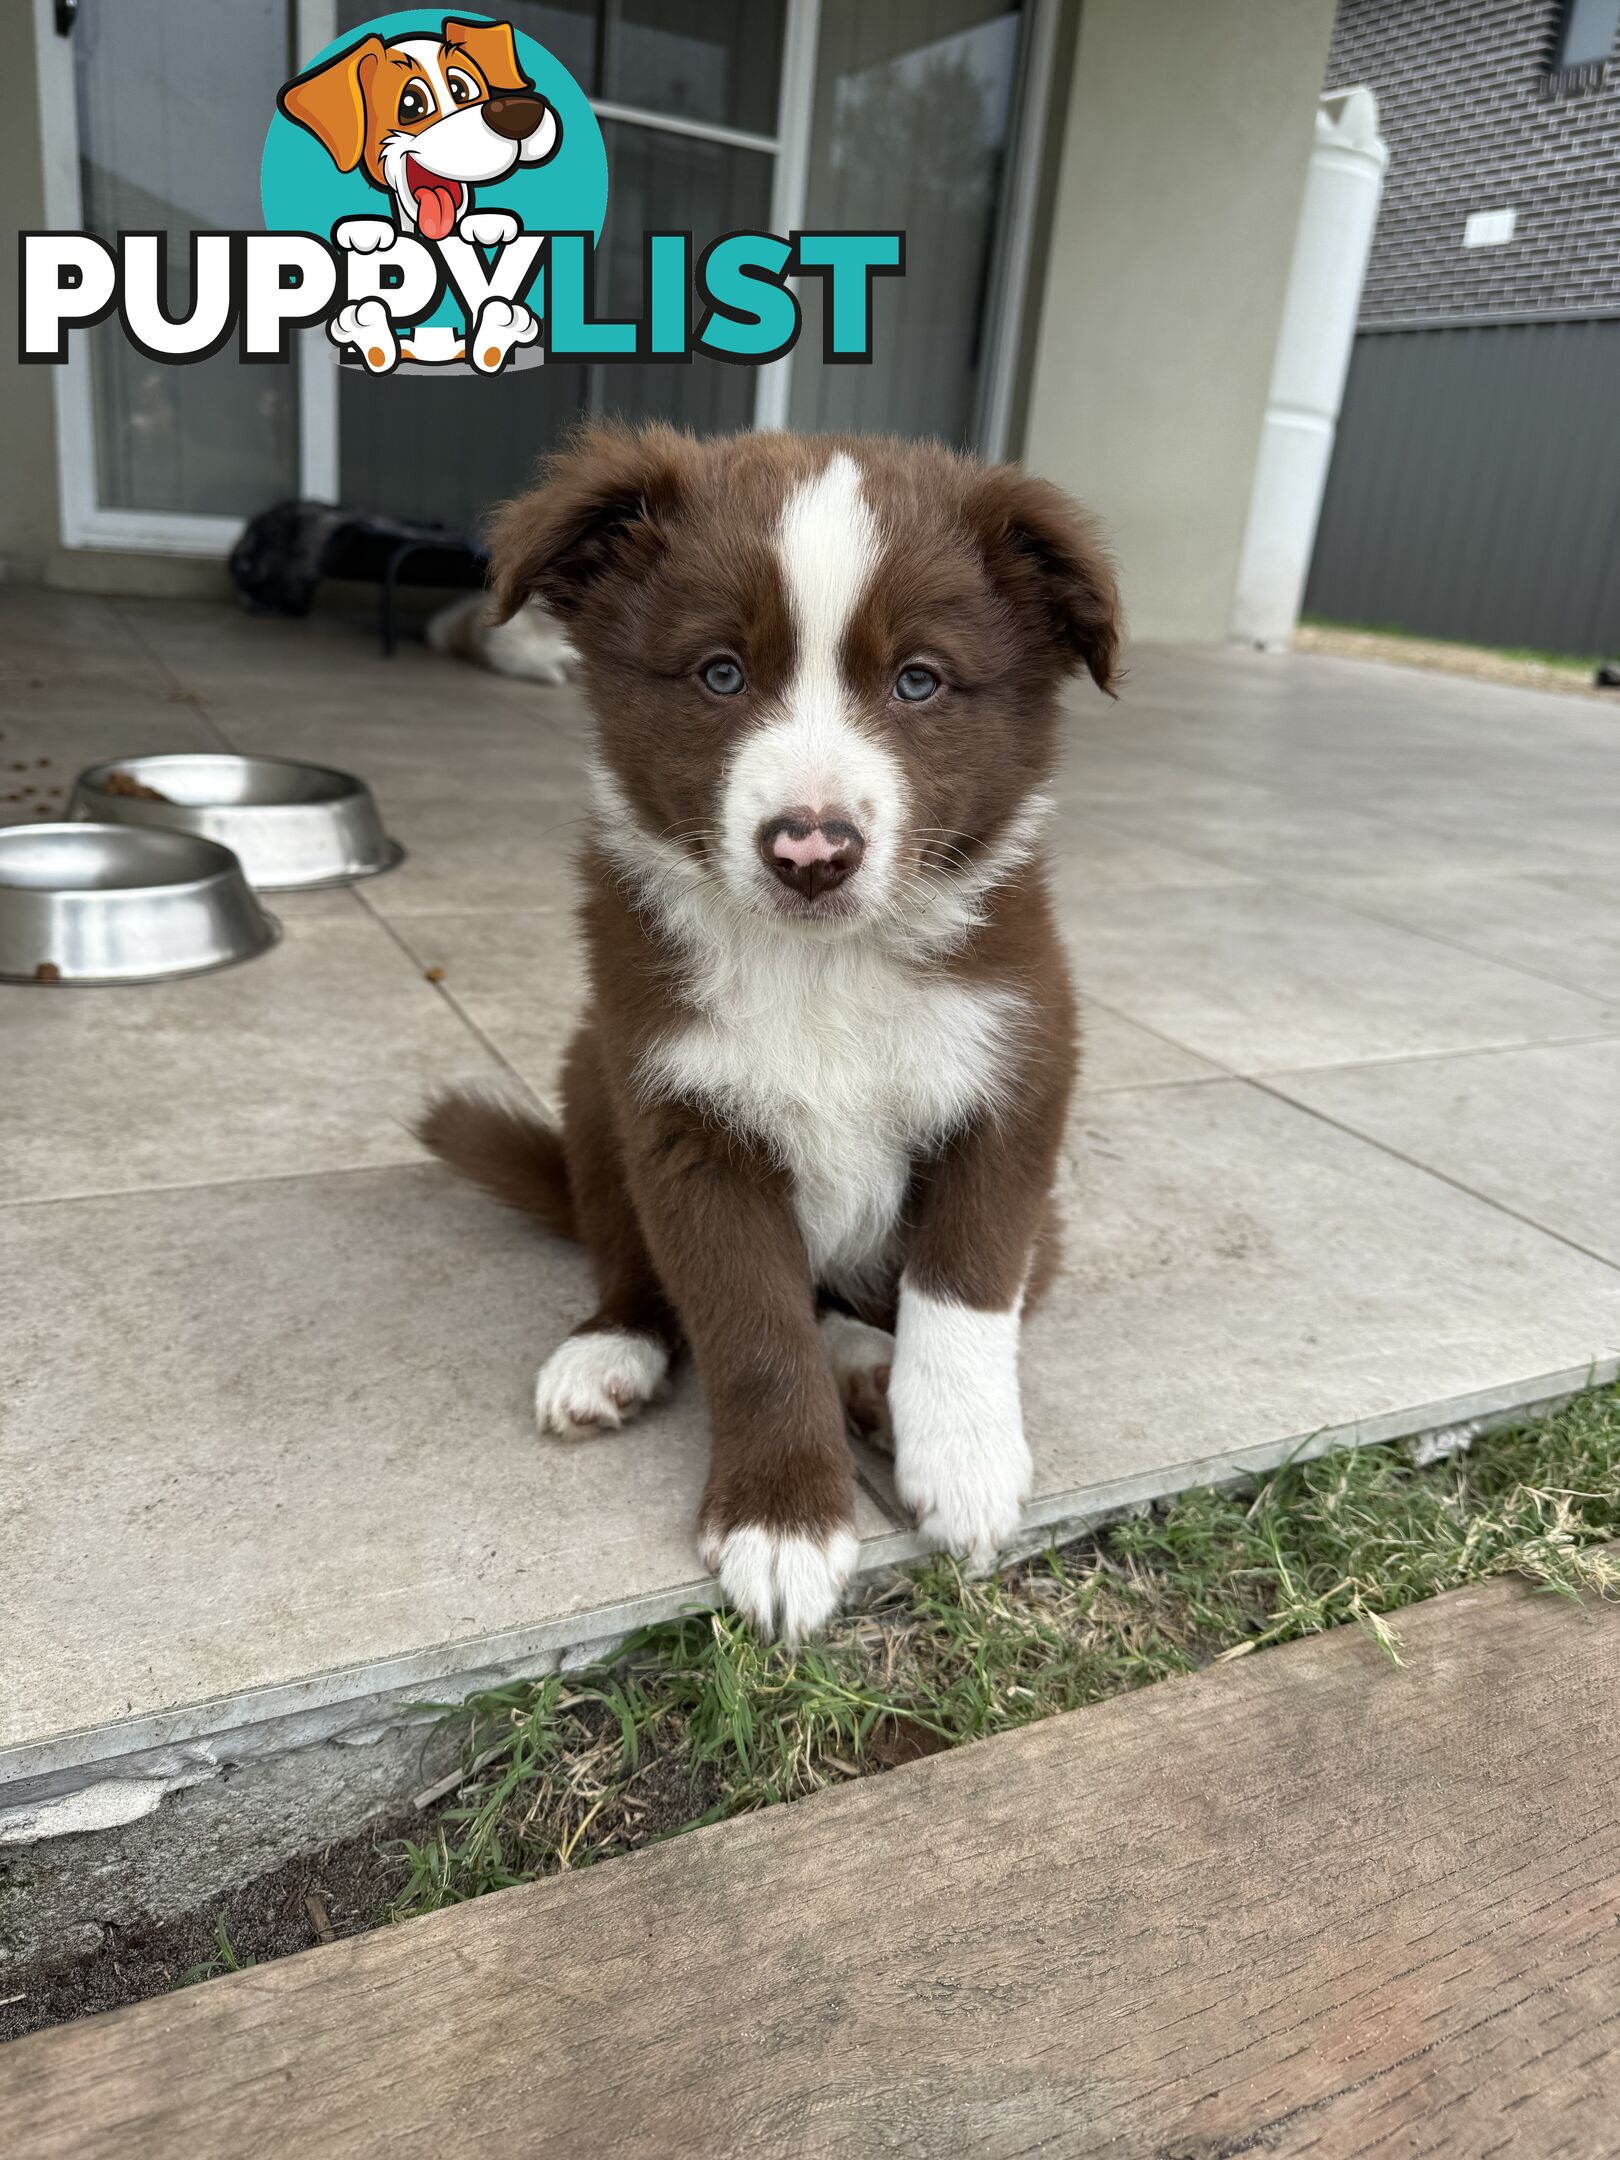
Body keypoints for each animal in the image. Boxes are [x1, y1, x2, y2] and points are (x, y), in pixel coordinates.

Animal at [425, 421, 1123, 1632]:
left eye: (919, 681)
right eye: (720, 673)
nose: (811, 848)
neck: (821, 967)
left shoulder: (1018, 1070)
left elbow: (965, 1292)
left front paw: (967, 1464)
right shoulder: (681, 1113)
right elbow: (754, 1330)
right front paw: (784, 1526)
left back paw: (875, 1377)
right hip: (590, 1085)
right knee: (637, 1269)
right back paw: (613, 1354)